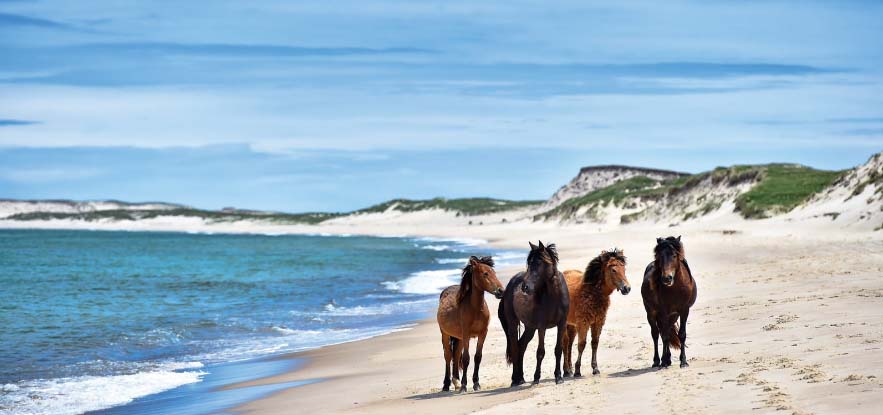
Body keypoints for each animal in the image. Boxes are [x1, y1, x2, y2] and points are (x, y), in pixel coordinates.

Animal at [436, 254, 504, 394]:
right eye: (485, 273)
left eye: (494, 272)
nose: (501, 291)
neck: (475, 309)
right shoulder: (466, 334)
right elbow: (466, 359)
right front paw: (464, 385)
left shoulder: (483, 333)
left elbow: (477, 357)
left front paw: (476, 384)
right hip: (445, 334)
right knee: (448, 356)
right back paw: (447, 385)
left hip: (459, 338)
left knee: (456, 355)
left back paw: (456, 382)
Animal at [498, 240, 572, 386]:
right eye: (529, 264)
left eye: (538, 263)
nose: (524, 287)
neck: (554, 296)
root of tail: (509, 286)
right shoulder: (542, 327)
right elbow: (540, 352)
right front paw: (536, 378)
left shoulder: (561, 324)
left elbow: (558, 349)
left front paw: (558, 377)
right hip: (513, 324)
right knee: (515, 347)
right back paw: (515, 379)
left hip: (530, 328)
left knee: (521, 346)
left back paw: (521, 378)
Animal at [564, 249, 632, 378]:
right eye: (613, 270)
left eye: (624, 269)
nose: (627, 288)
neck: (592, 292)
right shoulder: (583, 323)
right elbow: (582, 344)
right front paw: (577, 370)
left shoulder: (598, 322)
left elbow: (594, 343)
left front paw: (595, 368)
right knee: (565, 344)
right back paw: (567, 371)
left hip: (571, 325)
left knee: (569, 344)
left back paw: (568, 370)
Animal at [644, 236, 696, 368]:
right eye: (660, 256)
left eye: (674, 255)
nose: (667, 278)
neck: (675, 289)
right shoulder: (663, 312)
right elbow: (665, 335)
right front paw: (664, 362)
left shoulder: (684, 310)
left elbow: (682, 334)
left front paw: (683, 361)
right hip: (651, 313)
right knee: (656, 334)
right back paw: (658, 361)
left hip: (673, 315)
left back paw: (667, 359)